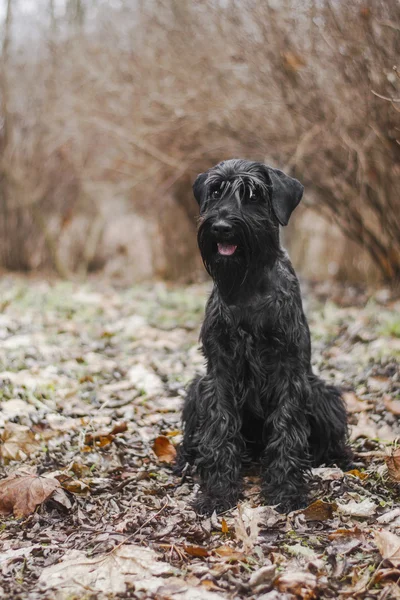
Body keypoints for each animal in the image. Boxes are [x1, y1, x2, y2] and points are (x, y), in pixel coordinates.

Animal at [177, 159, 352, 516]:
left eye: (253, 194)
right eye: (215, 191)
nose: (221, 227)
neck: (247, 285)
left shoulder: (288, 372)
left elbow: (286, 428)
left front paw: (285, 490)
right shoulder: (219, 372)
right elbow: (220, 427)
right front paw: (217, 492)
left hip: (321, 394)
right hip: (197, 391)